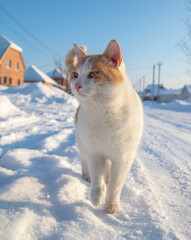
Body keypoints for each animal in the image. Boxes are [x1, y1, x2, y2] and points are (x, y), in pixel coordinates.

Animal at [65, 39, 143, 214]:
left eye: (92, 74)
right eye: (75, 75)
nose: (77, 85)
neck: (105, 113)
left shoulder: (122, 157)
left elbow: (115, 184)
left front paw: (111, 205)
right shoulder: (95, 152)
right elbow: (97, 179)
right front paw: (96, 197)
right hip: (82, 144)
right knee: (85, 162)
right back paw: (86, 176)